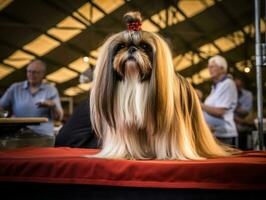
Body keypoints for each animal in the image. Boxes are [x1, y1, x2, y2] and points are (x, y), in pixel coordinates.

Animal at [90, 12, 235, 159]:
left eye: (145, 46)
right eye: (120, 46)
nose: (131, 49)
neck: (134, 78)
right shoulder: (126, 123)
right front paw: (127, 154)